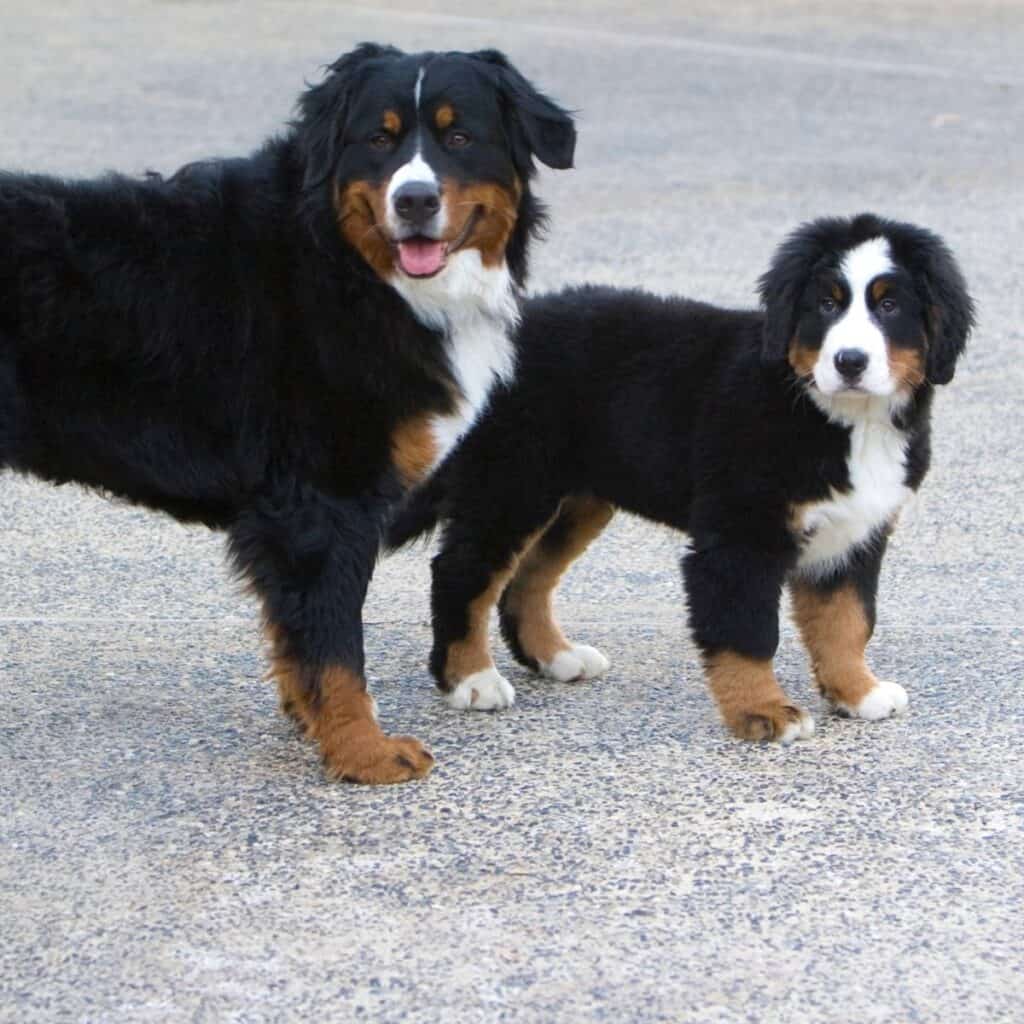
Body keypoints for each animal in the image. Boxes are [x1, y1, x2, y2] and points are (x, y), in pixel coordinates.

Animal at [0, 41, 577, 782]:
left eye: (459, 137)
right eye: (378, 139)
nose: (414, 199)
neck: (349, 269)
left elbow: (300, 640)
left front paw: (316, 726)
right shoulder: (323, 499)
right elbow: (333, 645)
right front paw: (365, 751)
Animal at [387, 216, 970, 745]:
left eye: (889, 306)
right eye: (826, 305)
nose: (850, 361)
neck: (838, 417)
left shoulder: (854, 537)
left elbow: (847, 623)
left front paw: (858, 692)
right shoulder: (739, 539)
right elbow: (747, 632)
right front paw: (764, 712)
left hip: (575, 499)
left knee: (527, 579)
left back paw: (557, 657)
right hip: (512, 484)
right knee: (462, 572)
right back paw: (471, 680)